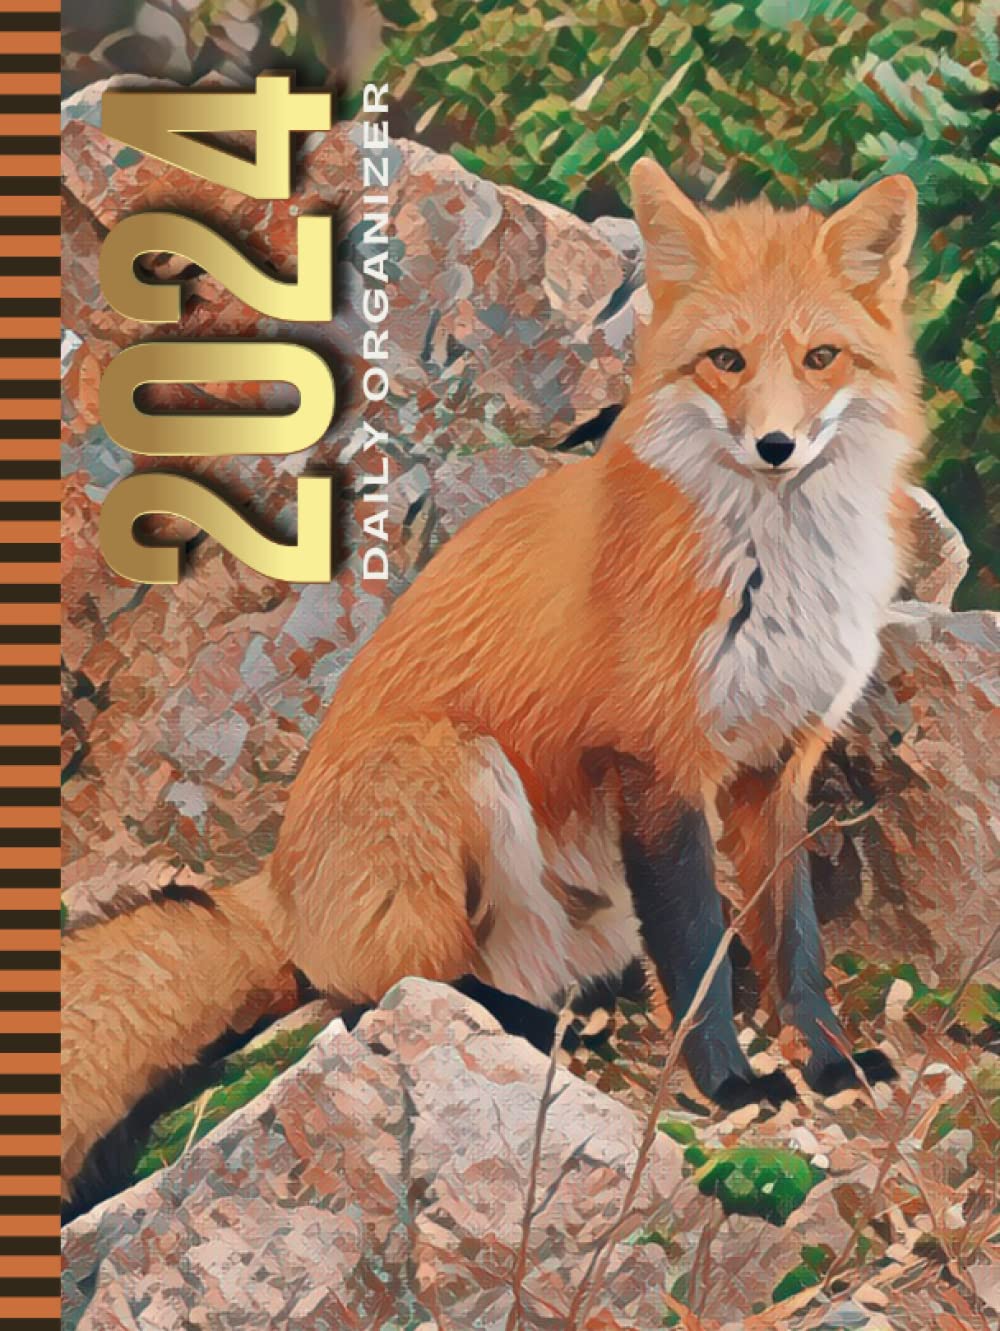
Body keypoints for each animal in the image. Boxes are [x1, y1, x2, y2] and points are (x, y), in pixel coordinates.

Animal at [64, 160, 923, 1200]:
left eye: (821, 357)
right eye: (725, 360)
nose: (775, 447)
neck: (777, 569)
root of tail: (275, 880)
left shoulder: (778, 768)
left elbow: (793, 943)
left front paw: (831, 1065)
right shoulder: (658, 762)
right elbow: (696, 958)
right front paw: (729, 1084)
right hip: (448, 763)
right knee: (389, 988)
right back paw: (524, 1026)